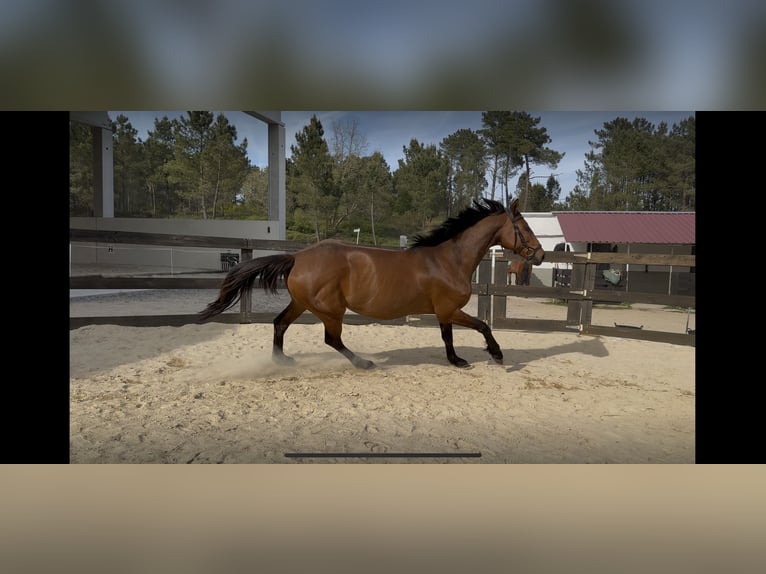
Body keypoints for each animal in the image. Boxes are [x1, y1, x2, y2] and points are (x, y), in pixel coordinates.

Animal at [198, 198, 544, 369]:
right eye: (526, 228)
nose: (540, 254)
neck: (449, 259)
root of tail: (297, 257)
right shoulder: (449, 309)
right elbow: (480, 326)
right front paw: (493, 356)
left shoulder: (443, 312)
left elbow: (449, 336)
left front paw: (457, 360)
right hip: (330, 310)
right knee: (331, 340)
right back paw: (364, 363)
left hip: (302, 304)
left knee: (279, 323)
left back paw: (282, 361)